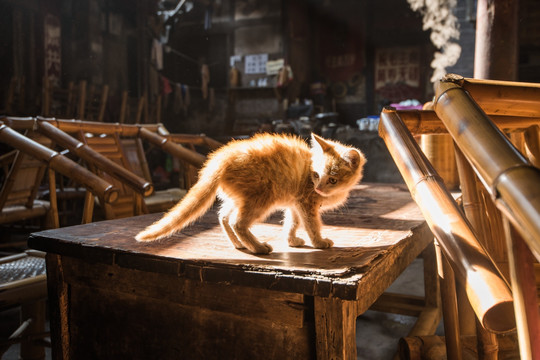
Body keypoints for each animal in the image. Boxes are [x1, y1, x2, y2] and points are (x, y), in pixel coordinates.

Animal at [135, 134, 364, 255]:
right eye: (316, 175)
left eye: (332, 180)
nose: (319, 188)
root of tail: (222, 157)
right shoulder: (306, 203)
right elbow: (312, 225)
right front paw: (319, 242)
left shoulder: (295, 204)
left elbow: (292, 222)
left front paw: (291, 240)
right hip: (261, 198)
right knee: (238, 222)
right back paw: (258, 247)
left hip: (240, 197)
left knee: (224, 216)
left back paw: (239, 244)